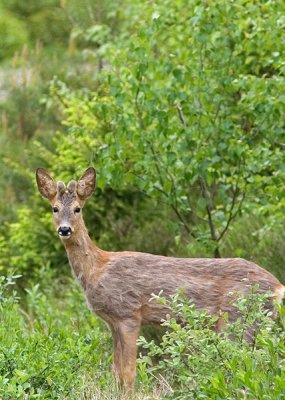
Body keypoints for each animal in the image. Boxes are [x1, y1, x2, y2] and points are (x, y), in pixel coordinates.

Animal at [36, 167, 284, 390]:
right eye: (54, 208)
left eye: (77, 209)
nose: (65, 230)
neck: (96, 269)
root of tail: (278, 287)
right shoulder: (112, 323)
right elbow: (116, 372)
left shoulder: (128, 313)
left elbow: (128, 374)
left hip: (239, 320)